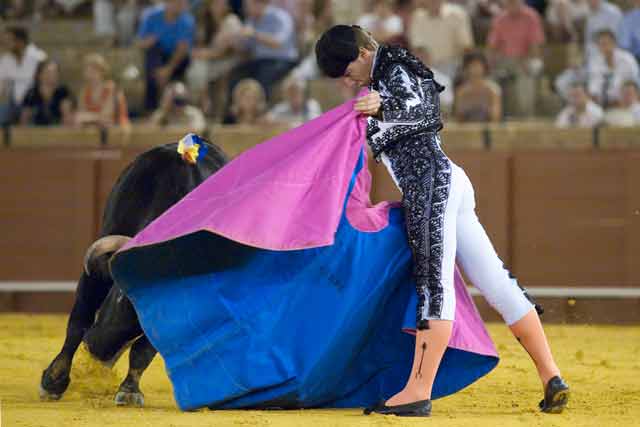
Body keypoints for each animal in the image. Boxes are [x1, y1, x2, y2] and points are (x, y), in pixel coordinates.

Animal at [39, 142, 228, 406]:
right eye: (120, 294)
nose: (98, 350)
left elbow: (143, 350)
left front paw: (129, 390)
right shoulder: (94, 272)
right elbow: (78, 322)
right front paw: (53, 381)